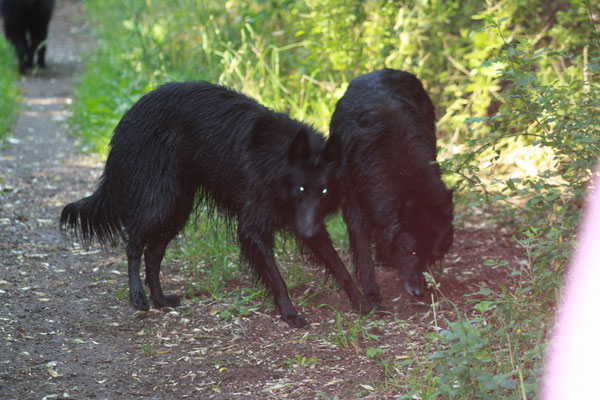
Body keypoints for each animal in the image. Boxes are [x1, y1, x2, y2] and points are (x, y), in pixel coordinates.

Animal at [61, 81, 380, 328]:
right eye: (301, 188)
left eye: (324, 191)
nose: (308, 231)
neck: (278, 161)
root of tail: (128, 116)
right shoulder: (254, 228)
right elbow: (278, 279)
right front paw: (289, 314)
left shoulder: (306, 220)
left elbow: (339, 265)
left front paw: (362, 301)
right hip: (161, 201)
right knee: (134, 244)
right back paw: (138, 297)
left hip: (179, 207)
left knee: (153, 254)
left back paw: (161, 299)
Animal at [330, 68, 452, 300]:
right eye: (412, 252)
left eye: (431, 256)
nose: (418, 292)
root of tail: (380, 70)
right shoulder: (353, 202)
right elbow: (362, 252)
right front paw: (371, 293)